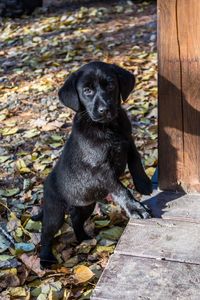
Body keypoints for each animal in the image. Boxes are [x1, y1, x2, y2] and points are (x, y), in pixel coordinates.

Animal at [32, 61, 152, 268]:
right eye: (87, 91)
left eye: (110, 85)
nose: (104, 109)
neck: (107, 127)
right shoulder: (102, 170)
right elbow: (122, 190)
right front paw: (135, 207)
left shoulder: (128, 142)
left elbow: (136, 162)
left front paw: (144, 184)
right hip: (55, 211)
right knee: (46, 233)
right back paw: (46, 258)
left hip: (85, 204)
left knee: (75, 219)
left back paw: (84, 238)